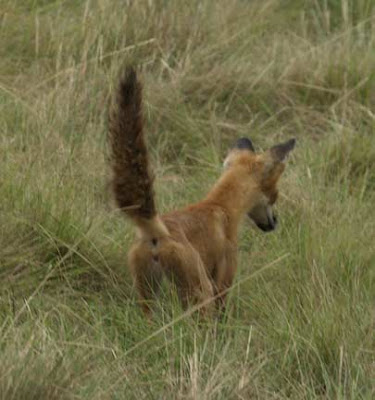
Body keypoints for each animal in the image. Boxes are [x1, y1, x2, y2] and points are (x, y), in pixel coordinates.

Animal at [108, 68, 296, 318]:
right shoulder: (223, 278)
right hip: (199, 293)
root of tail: (156, 233)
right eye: (275, 195)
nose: (275, 222)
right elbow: (223, 313)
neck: (220, 206)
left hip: (147, 296)